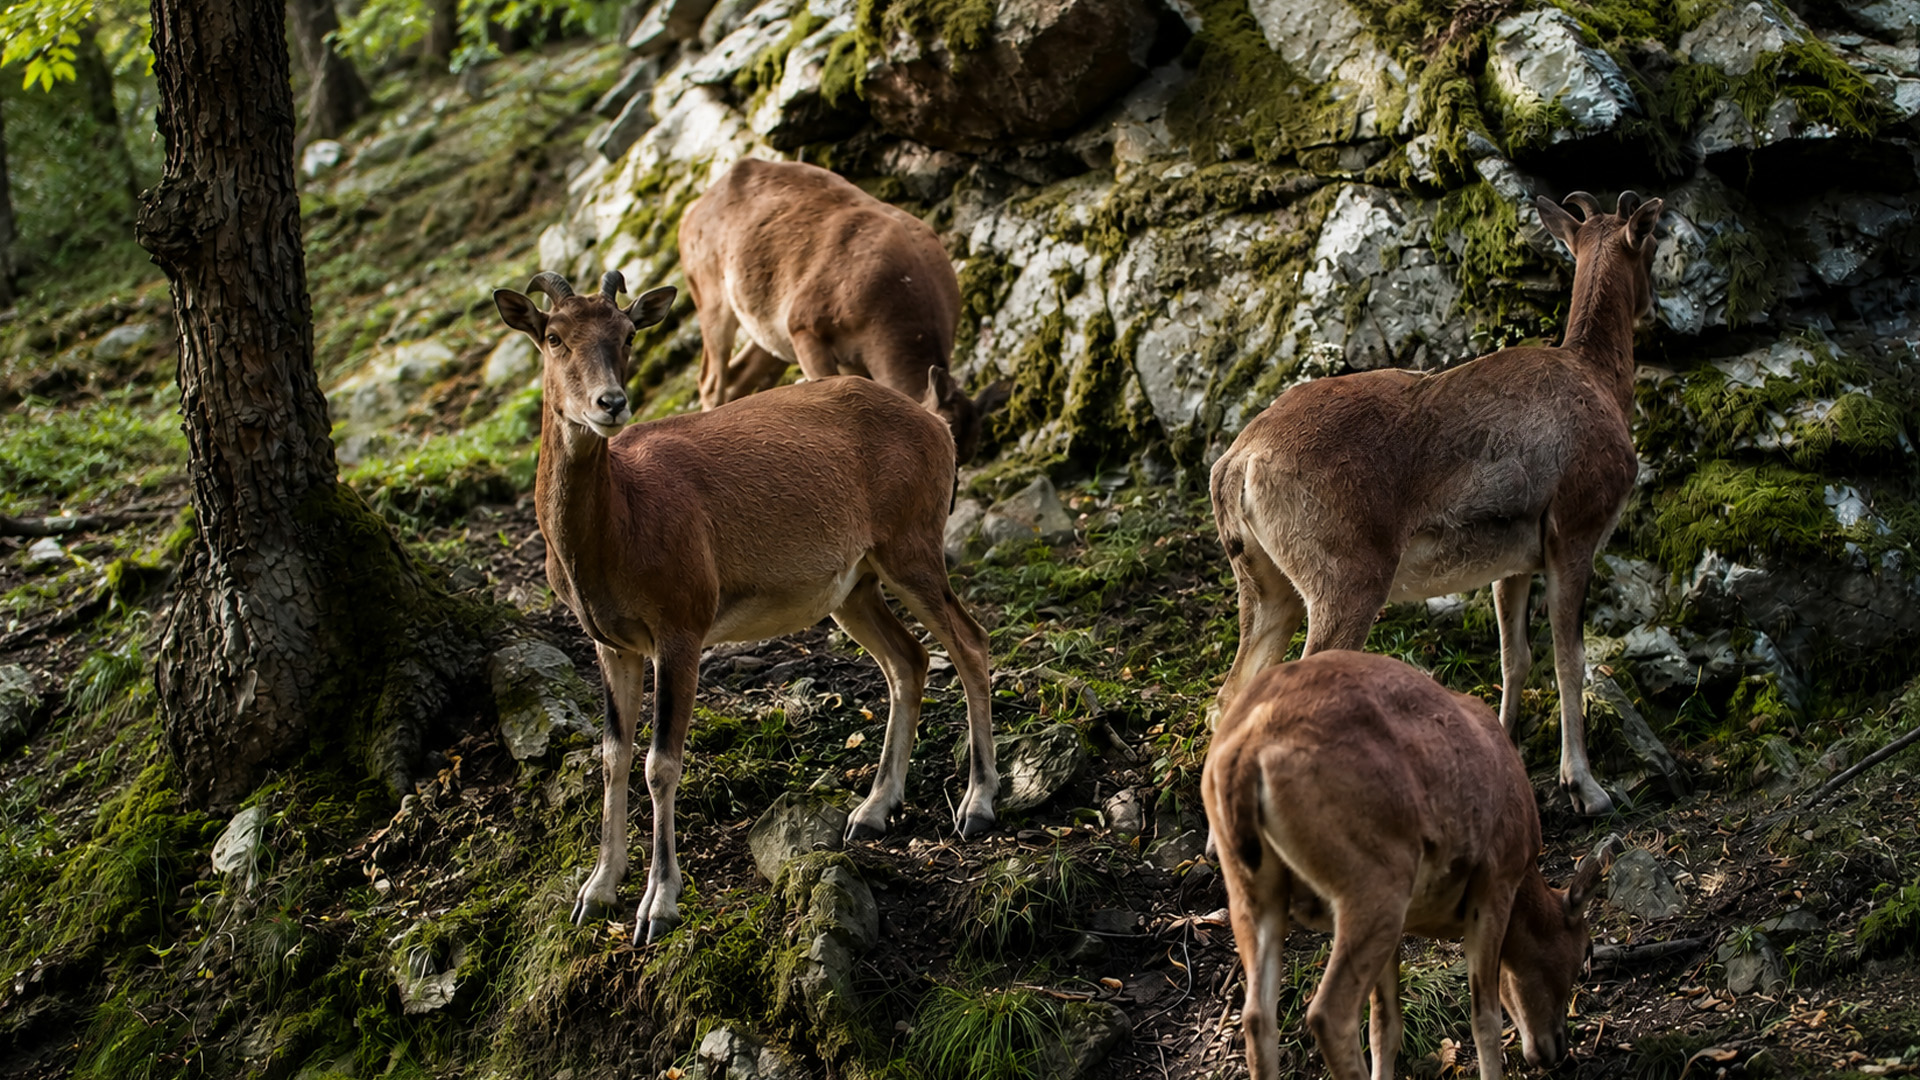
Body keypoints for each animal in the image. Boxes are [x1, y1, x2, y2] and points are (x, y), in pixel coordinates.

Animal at [493, 269, 999, 943]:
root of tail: (937, 427)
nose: (610, 403)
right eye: (552, 336)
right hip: (853, 585)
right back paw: (870, 810)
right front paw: (595, 891)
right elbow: (611, 754)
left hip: (912, 544)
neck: (620, 531)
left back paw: (978, 803)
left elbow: (661, 762)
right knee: (908, 659)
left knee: (969, 641)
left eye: (627, 333)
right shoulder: (608, 640)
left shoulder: (682, 621)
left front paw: (658, 904)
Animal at [678, 157, 1010, 463]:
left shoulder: (853, 361)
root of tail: (690, 211)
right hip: (711, 296)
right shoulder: (803, 326)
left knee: (738, 376)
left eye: (966, 454)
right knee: (710, 381)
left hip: (767, 334)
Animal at [1202, 650, 1619, 1080]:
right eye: (1585, 951)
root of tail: (1245, 755)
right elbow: (1484, 1016)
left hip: (1254, 894)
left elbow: (1385, 1025)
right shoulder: (1494, 885)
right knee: (1327, 1014)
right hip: (1374, 886)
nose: (1556, 1048)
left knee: (1257, 1018)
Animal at [1209, 190, 1664, 817]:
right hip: (1345, 586)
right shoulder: (1573, 537)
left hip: (1267, 589)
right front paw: (1587, 789)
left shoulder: (1513, 565)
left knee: (1232, 695)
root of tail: (1242, 461)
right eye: (1654, 243)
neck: (1594, 380)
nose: (1655, 308)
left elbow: (1515, 657)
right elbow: (1569, 659)